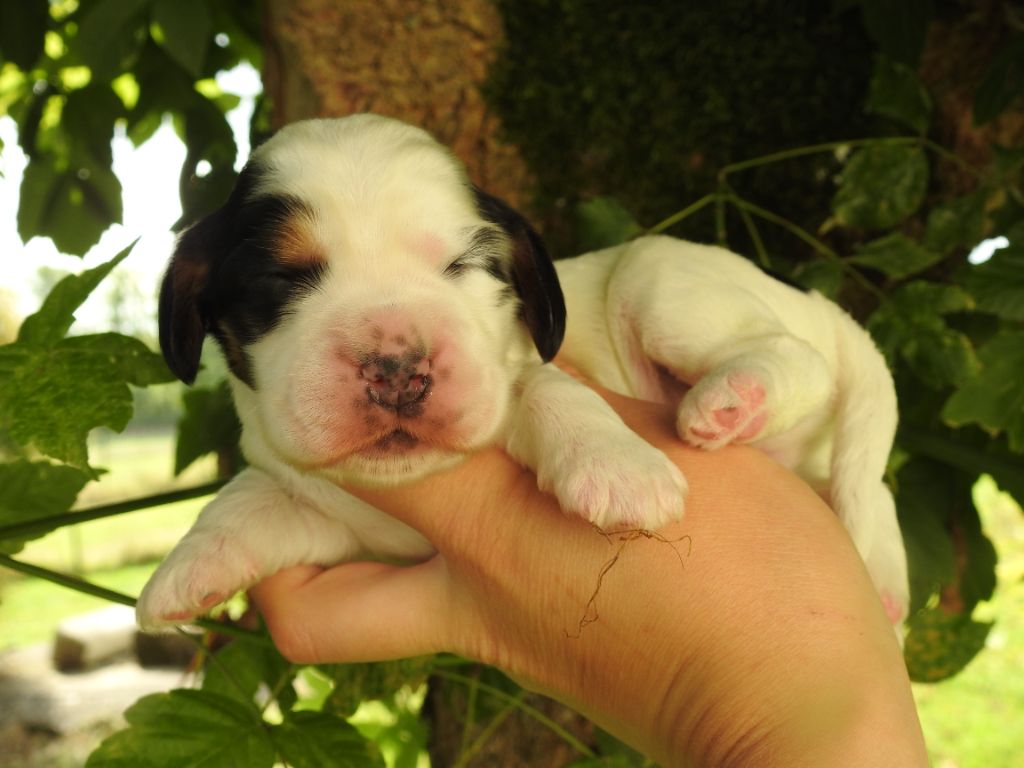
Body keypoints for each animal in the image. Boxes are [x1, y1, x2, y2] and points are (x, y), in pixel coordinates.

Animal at [134, 111, 905, 634]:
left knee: (796, 358)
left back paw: (730, 400)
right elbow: (249, 501)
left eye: (463, 266)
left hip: (658, 276)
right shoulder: (344, 525)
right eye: (280, 279)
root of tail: (823, 307)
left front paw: (618, 469)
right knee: (875, 491)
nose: (395, 369)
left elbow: (546, 388)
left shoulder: (524, 370)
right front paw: (185, 570)